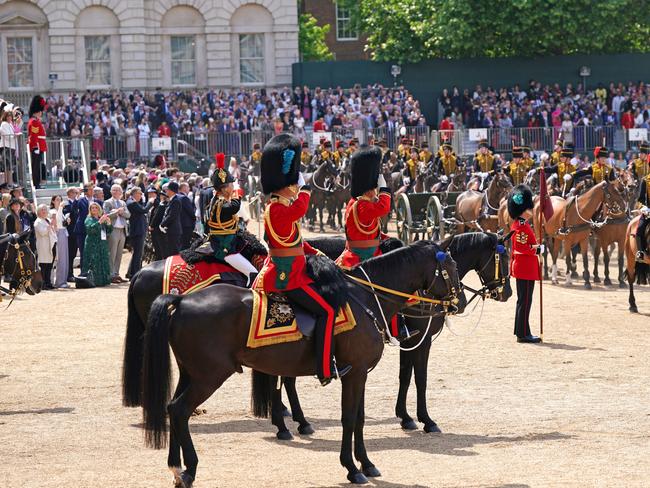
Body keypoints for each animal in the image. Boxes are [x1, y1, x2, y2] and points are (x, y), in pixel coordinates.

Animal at [128, 241, 460, 488]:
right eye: (452, 268)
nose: (457, 303)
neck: (366, 298)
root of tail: (183, 300)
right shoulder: (355, 373)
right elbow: (349, 418)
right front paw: (353, 468)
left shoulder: (360, 373)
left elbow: (360, 418)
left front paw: (365, 463)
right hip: (208, 376)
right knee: (179, 410)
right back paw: (189, 469)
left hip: (191, 373)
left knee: (172, 408)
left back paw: (176, 466)